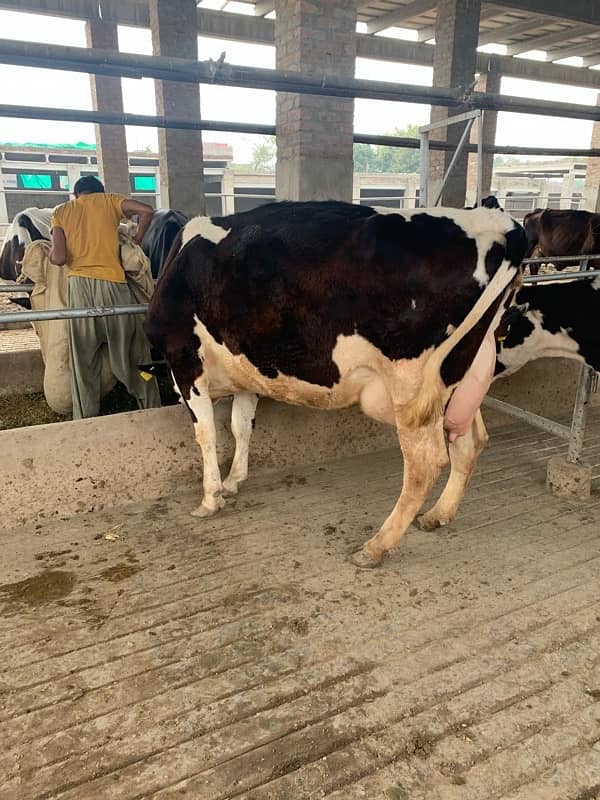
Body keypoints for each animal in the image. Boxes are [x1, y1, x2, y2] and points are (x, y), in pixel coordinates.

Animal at [144, 200, 524, 564]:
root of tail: (498, 222)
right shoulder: (248, 369)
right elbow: (241, 426)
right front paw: (234, 480)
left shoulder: (184, 359)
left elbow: (206, 432)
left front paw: (210, 498)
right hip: (461, 374)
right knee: (470, 442)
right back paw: (437, 515)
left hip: (412, 386)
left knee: (425, 463)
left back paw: (375, 547)